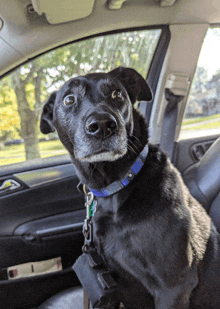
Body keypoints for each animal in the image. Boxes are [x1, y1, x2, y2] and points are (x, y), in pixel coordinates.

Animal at [40, 68, 220, 308]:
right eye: (69, 99)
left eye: (117, 94)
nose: (102, 125)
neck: (116, 187)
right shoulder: (107, 284)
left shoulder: (173, 287)